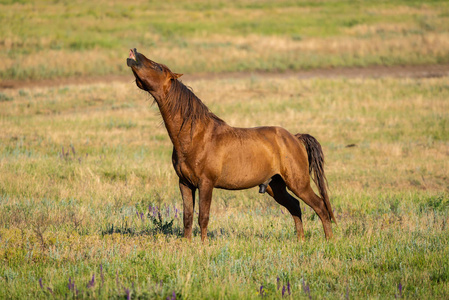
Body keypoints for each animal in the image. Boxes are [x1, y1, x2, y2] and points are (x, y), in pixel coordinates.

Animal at [126, 48, 336, 241]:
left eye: (158, 67)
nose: (134, 52)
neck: (195, 136)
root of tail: (295, 137)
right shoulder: (184, 183)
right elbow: (187, 217)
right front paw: (187, 244)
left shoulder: (206, 183)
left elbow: (203, 217)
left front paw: (203, 245)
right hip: (275, 186)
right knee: (295, 207)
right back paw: (300, 240)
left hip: (298, 183)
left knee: (319, 206)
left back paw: (329, 240)